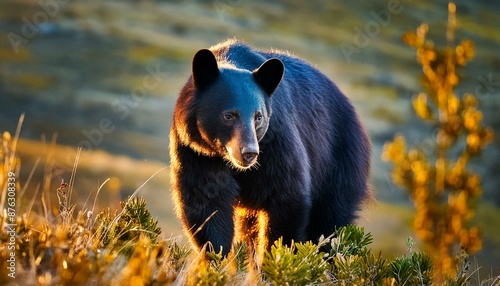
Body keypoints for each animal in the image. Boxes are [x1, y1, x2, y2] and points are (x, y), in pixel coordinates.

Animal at [170, 38, 370, 260]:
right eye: (228, 115)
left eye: (258, 116)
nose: (249, 153)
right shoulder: (195, 152)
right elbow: (206, 203)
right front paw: (215, 257)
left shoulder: (276, 143)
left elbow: (287, 196)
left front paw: (275, 258)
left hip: (338, 163)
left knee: (330, 222)